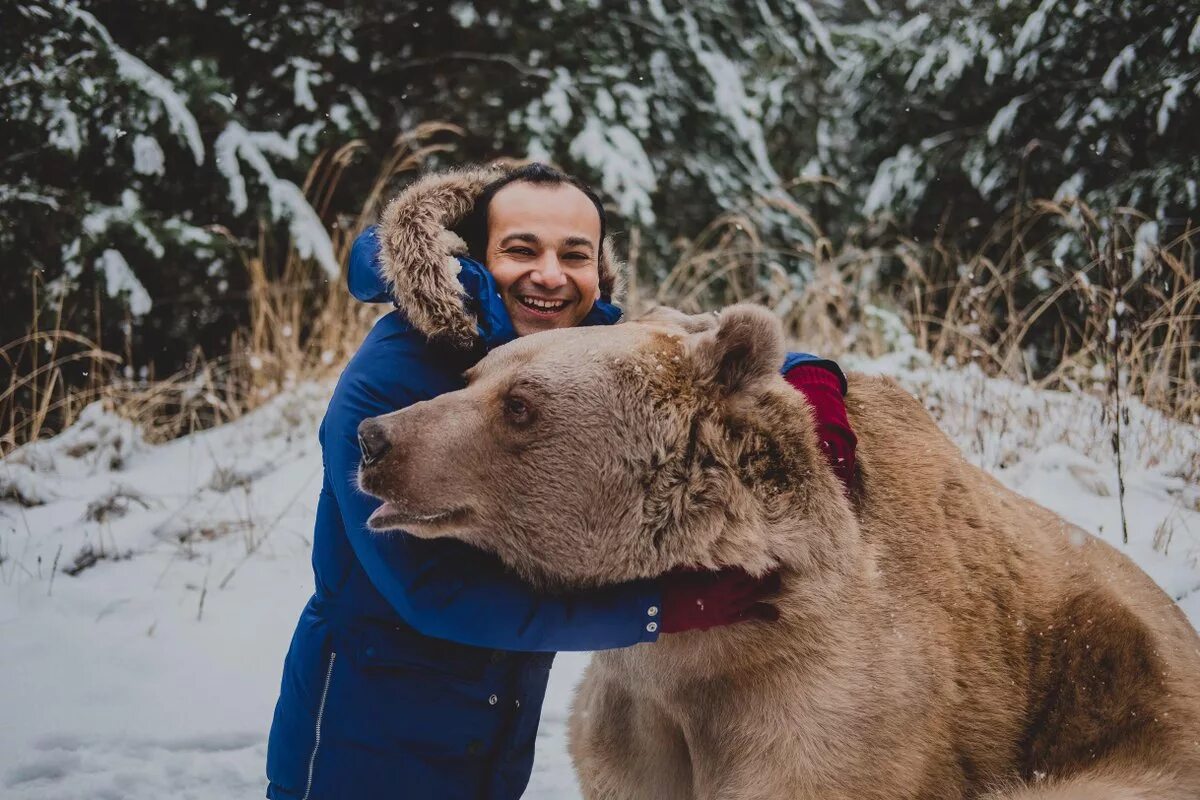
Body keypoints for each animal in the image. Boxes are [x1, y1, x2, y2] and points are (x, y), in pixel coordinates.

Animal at [355, 303, 1200, 796]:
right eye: (472, 373)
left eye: (520, 405)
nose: (375, 437)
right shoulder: (637, 715)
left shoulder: (820, 706)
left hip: (1121, 697)